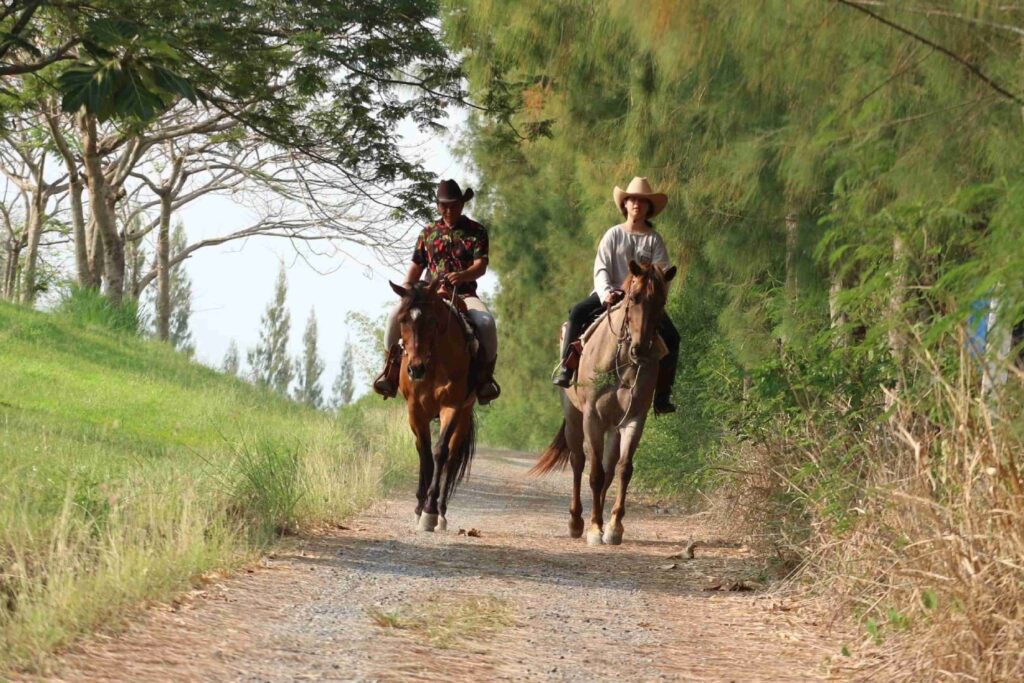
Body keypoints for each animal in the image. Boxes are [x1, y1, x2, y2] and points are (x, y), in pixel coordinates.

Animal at [389, 278, 477, 532]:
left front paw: (430, 511)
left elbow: (439, 452)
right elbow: (424, 452)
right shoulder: (415, 410)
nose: (415, 369)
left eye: (431, 321)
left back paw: (441, 511)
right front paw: (421, 508)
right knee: (423, 448)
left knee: (452, 456)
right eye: (402, 320)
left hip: (464, 414)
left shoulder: (452, 407)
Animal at [532, 260, 675, 544]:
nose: (642, 349)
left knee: (609, 468)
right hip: (574, 418)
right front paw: (595, 528)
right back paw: (576, 521)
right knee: (578, 462)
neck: (622, 360)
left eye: (662, 301)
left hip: (613, 427)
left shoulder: (633, 419)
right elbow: (595, 473)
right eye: (634, 297)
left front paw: (614, 527)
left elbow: (622, 469)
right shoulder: (592, 418)